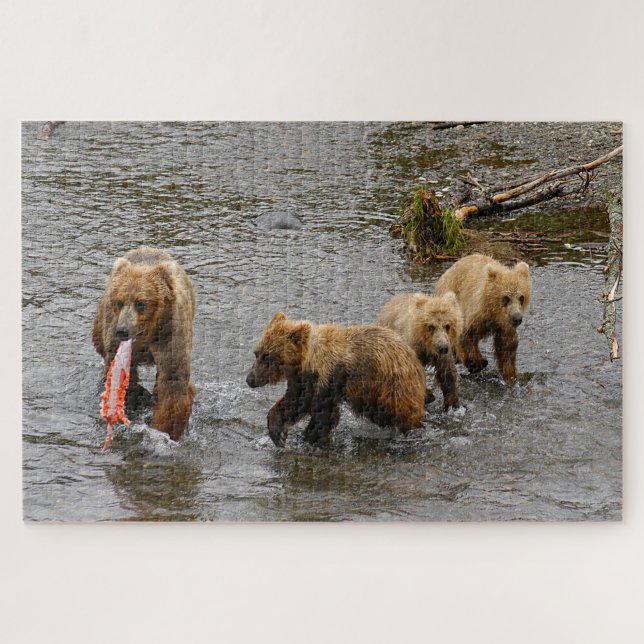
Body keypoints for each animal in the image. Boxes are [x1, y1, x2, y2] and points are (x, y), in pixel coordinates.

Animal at [92, 246, 196, 441]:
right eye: (120, 301)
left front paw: (165, 429)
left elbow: (172, 383)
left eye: (141, 303)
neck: (146, 334)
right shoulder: (117, 340)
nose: (123, 330)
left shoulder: (169, 337)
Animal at [245, 312, 426, 447]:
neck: (310, 362)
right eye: (257, 353)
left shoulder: (330, 380)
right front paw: (278, 433)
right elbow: (294, 403)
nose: (250, 379)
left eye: (268, 357)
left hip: (391, 388)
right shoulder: (303, 380)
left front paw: (308, 437)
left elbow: (324, 413)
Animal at [433, 253, 532, 385]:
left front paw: (510, 376)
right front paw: (477, 363)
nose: (517, 318)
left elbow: (507, 346)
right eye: (506, 297)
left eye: (521, 297)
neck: (493, 313)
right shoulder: (474, 312)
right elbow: (466, 336)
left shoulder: (504, 324)